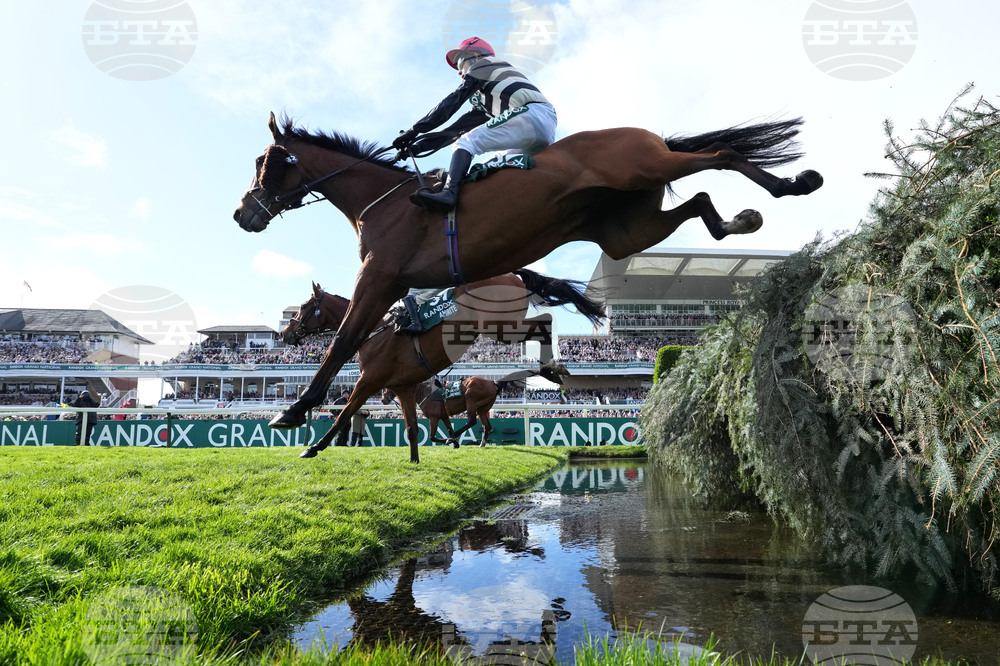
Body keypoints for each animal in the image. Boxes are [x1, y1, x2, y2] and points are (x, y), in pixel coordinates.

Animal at [234, 113, 822, 439]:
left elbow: (342, 342)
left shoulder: (379, 279)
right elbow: (352, 346)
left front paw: (295, 410)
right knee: (699, 198)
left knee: (720, 152)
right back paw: (740, 219)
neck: (384, 201)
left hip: (647, 167)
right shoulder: (391, 284)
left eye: (265, 162)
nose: (243, 213)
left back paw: (793, 183)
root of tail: (647, 135)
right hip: (626, 229)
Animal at [382, 375, 512, 449]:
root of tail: (492, 382)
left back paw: (455, 438)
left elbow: (432, 437)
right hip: (482, 409)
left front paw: (452, 441)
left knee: (471, 421)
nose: (383, 399)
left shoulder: (434, 417)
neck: (425, 392)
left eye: (390, 385)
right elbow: (449, 429)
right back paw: (482, 444)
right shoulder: (444, 416)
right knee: (486, 426)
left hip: (471, 401)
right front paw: (455, 443)